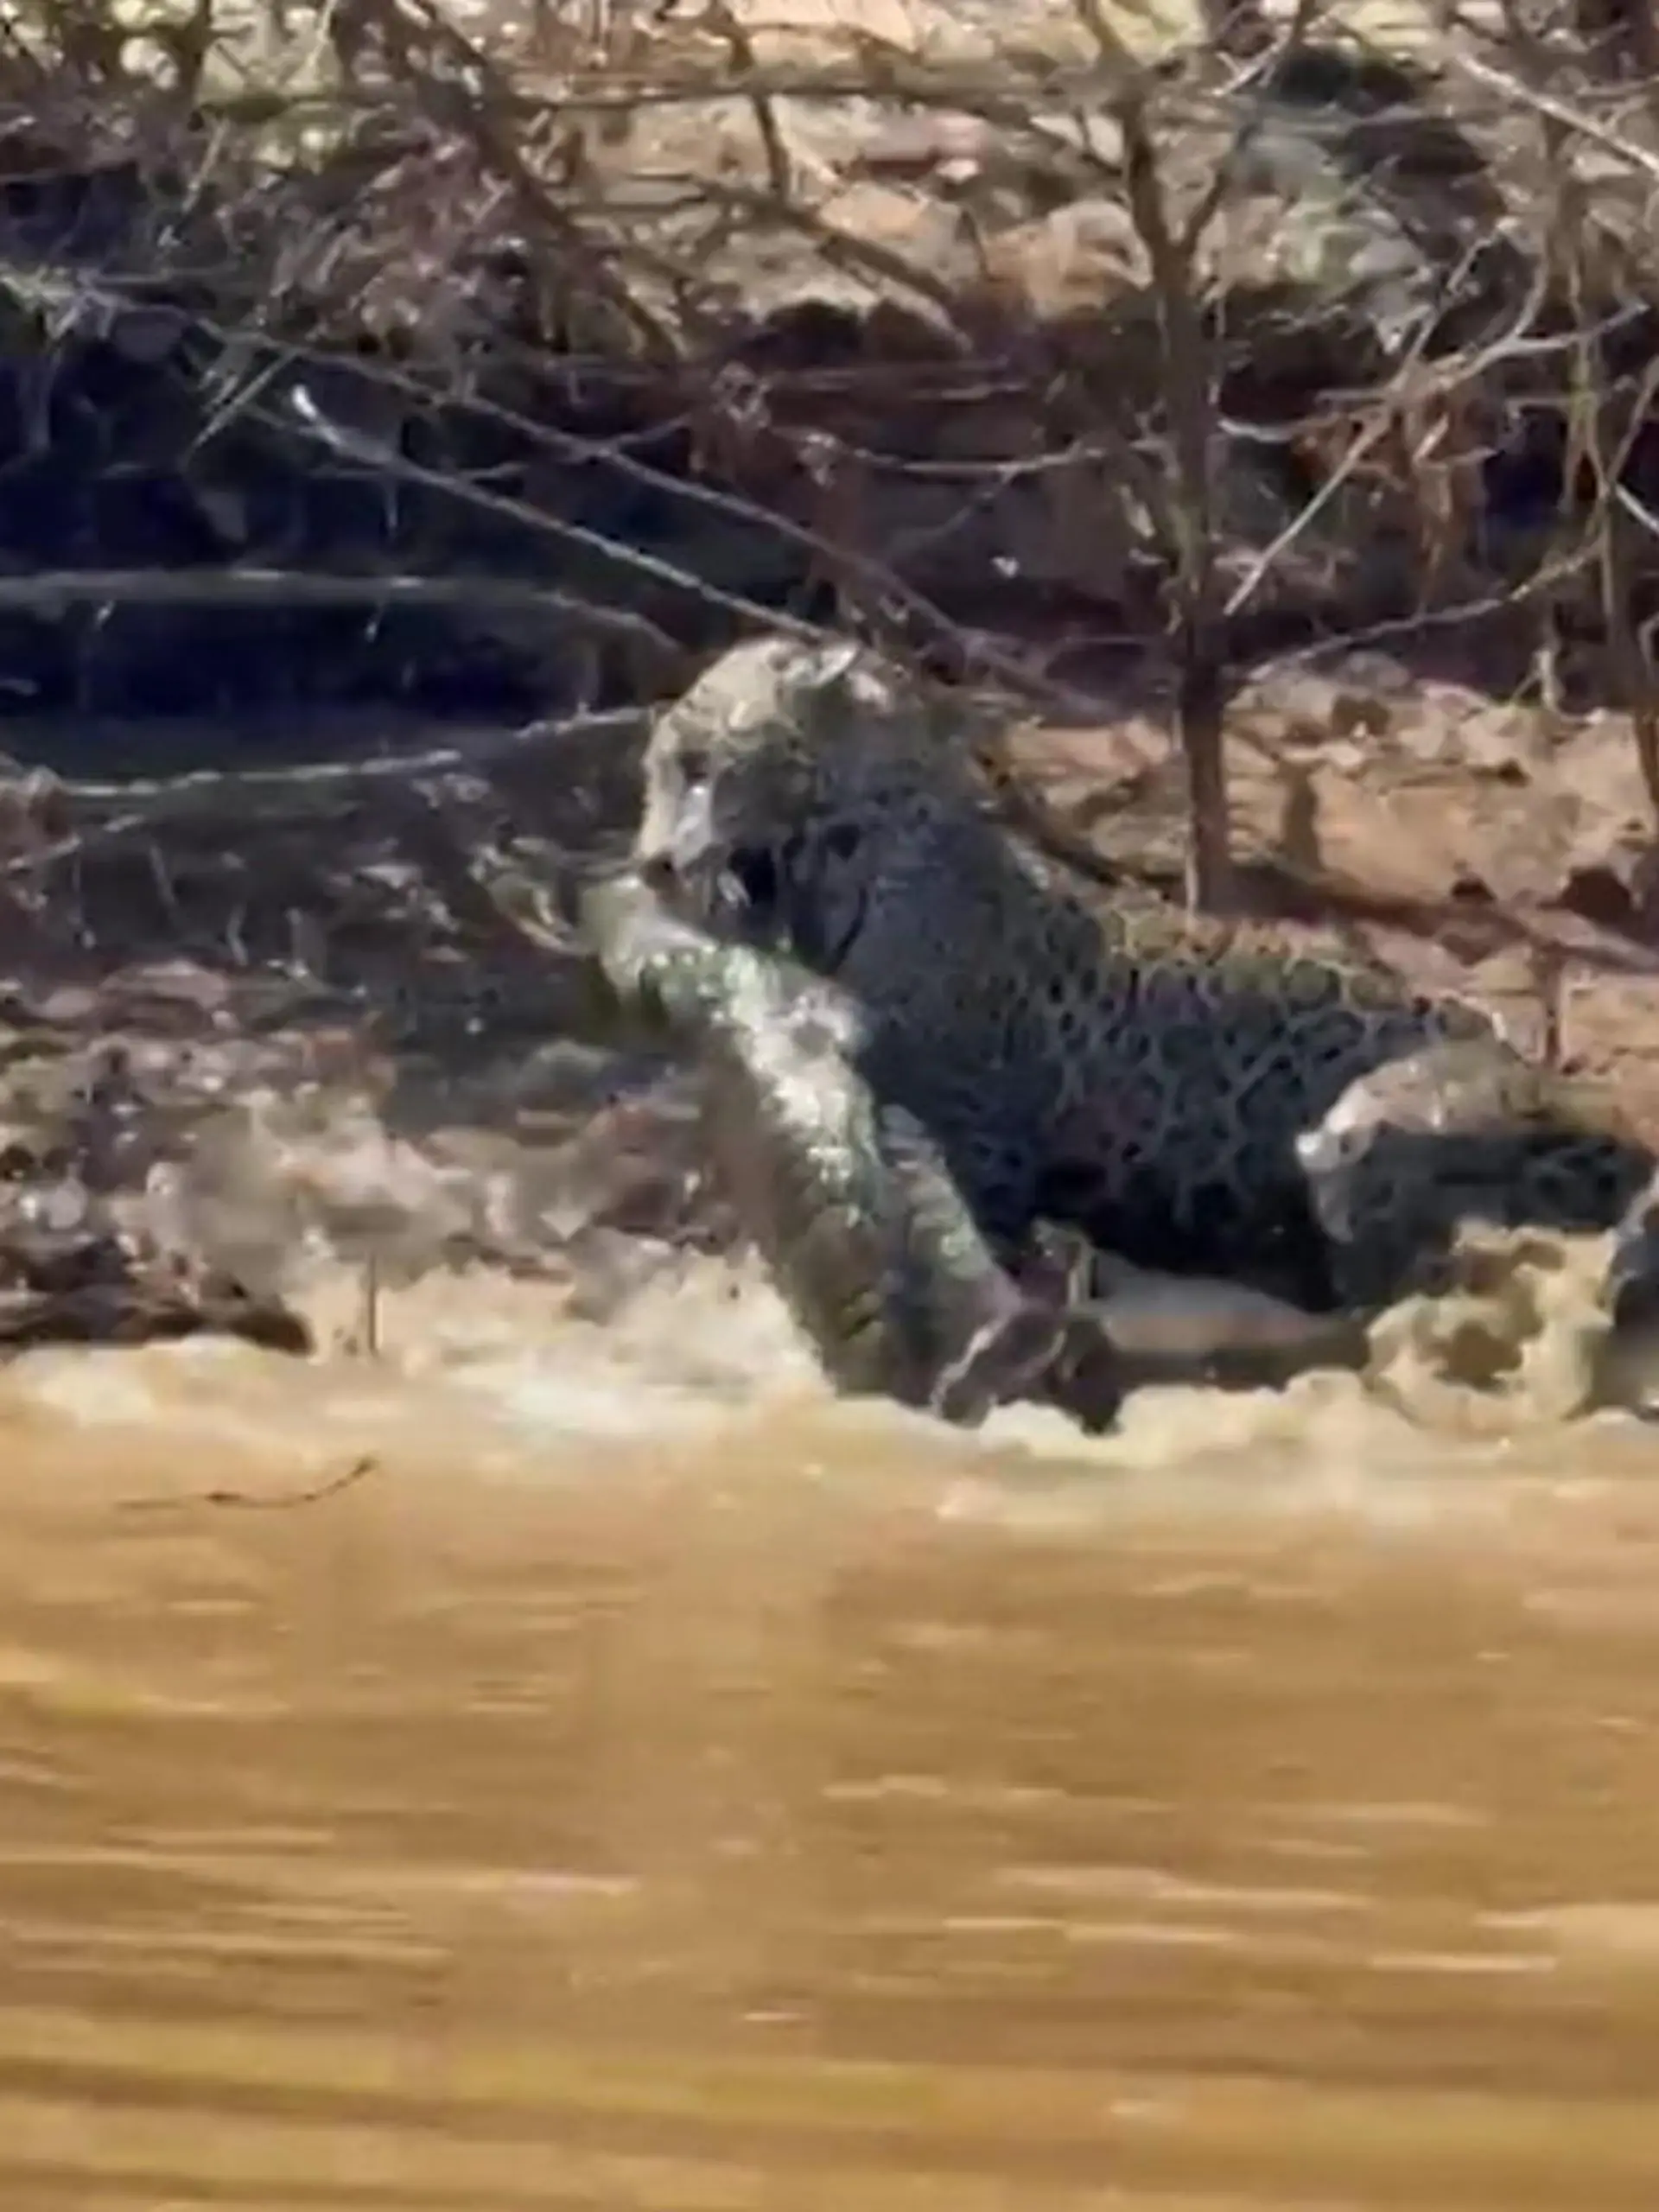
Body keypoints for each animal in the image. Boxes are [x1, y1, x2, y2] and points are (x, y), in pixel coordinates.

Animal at [631, 631, 1659, 1340]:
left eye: (700, 769)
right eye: (659, 773)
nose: (648, 865)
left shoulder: (979, 1129)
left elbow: (978, 1226)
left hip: (1388, 1120)